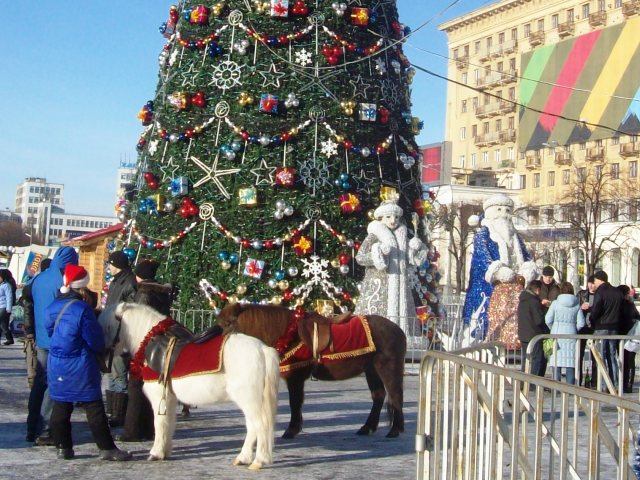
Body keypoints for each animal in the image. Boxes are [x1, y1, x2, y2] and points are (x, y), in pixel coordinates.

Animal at [112, 304, 280, 468]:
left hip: (249, 400)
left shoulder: (159, 396)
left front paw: (156, 453)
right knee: (253, 427)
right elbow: (168, 423)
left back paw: (258, 461)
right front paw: (165, 452)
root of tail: (263, 349)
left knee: (260, 425)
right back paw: (243, 458)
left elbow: (159, 423)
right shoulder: (170, 398)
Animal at [215, 304, 404, 438]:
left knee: (395, 396)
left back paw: (395, 430)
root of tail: (398, 329)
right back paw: (367, 428)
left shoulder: (295, 378)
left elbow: (295, 402)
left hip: (388, 368)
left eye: (227, 323)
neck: (288, 333)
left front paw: (291, 430)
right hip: (371, 370)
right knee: (378, 396)